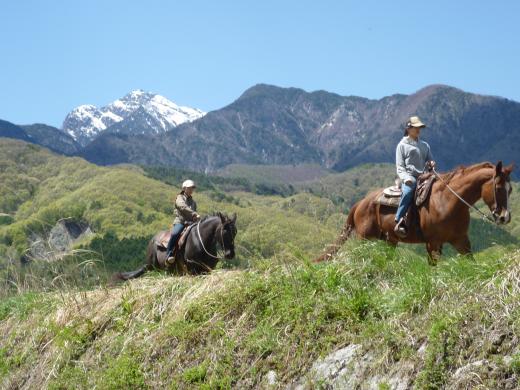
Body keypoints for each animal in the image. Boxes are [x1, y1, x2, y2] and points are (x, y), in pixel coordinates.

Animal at [314, 161, 512, 266]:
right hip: (365, 239)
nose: (505, 217)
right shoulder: (433, 243)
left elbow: (472, 262)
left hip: (389, 240)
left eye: (510, 190)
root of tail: (360, 203)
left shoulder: (461, 240)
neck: (448, 201)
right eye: (498, 188)